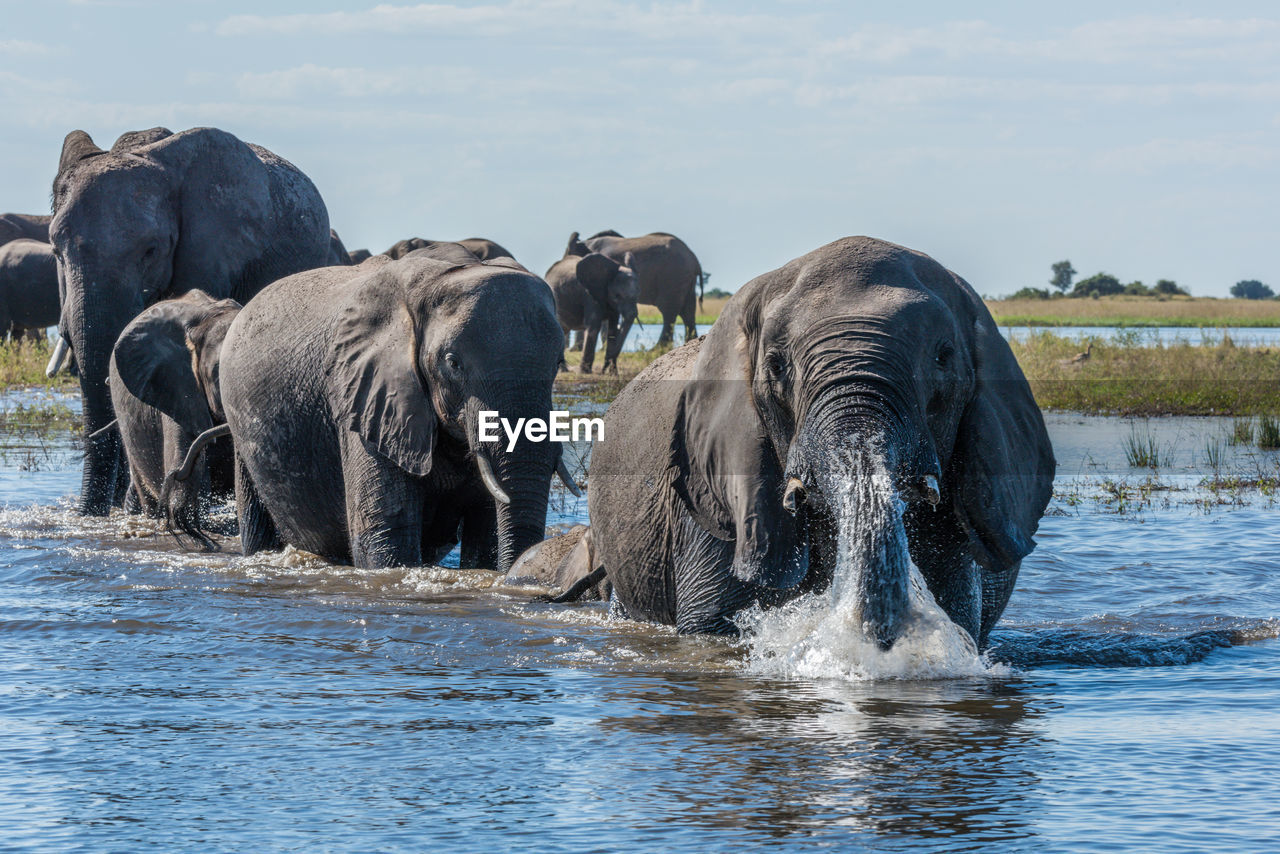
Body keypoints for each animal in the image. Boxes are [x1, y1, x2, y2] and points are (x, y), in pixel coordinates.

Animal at [542, 231, 637, 371]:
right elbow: (593, 326)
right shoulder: (590, 295)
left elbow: (613, 329)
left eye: (637, 295)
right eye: (617, 296)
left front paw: (612, 373)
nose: (604, 370)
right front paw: (585, 372)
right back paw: (563, 370)